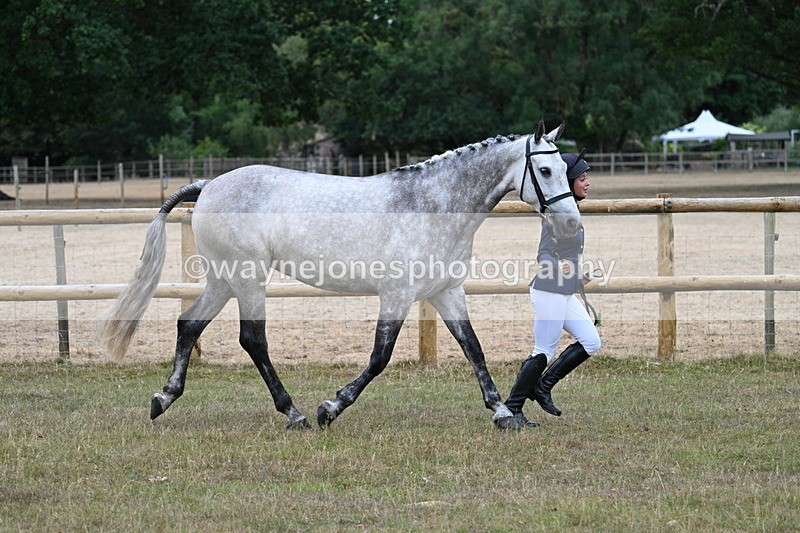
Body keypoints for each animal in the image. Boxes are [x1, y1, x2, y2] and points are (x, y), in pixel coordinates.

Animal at [102, 120, 581, 430]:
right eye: (544, 170)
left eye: (563, 169)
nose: (572, 225)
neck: (433, 205)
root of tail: (209, 186)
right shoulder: (397, 295)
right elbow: (379, 357)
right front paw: (330, 408)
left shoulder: (446, 292)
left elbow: (473, 349)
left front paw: (502, 413)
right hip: (247, 279)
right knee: (252, 340)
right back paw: (294, 414)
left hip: (224, 280)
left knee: (189, 324)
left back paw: (163, 399)